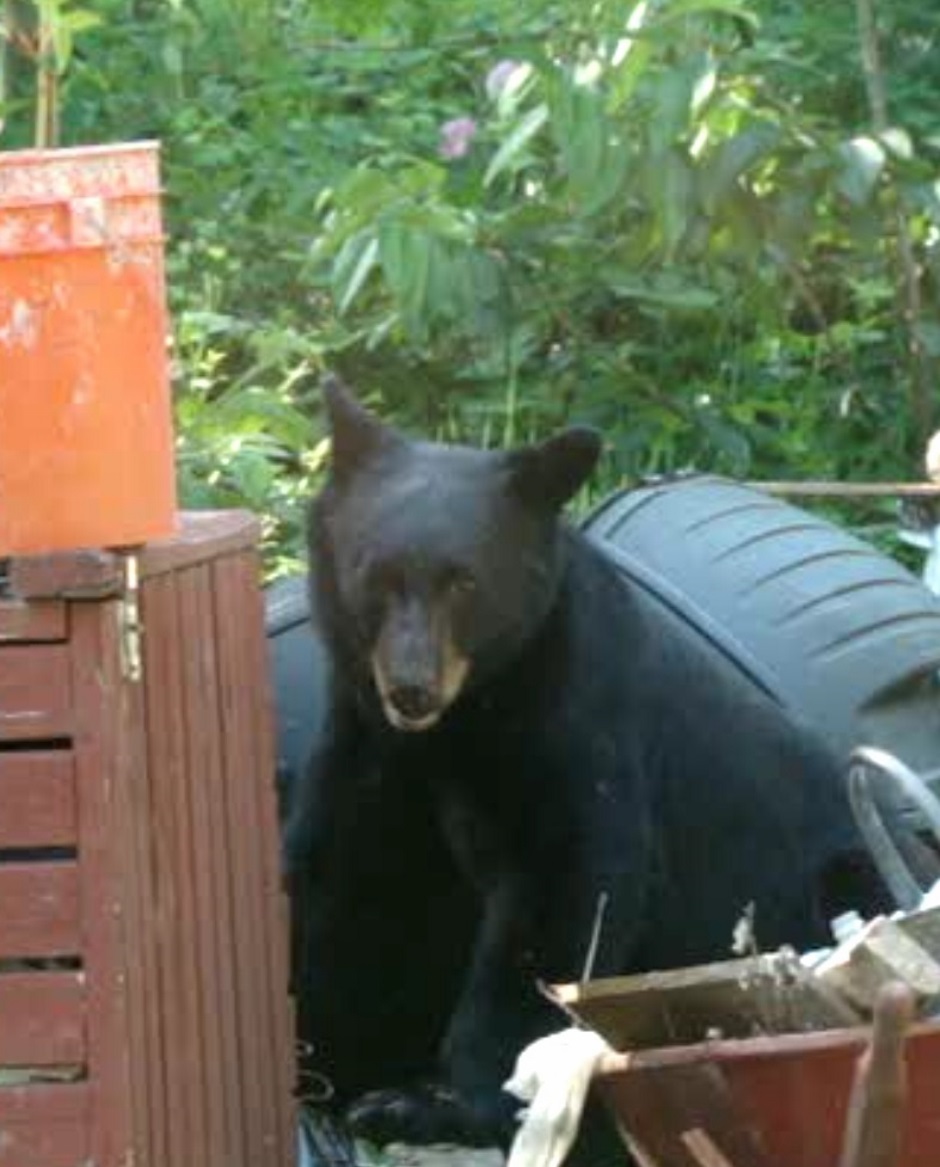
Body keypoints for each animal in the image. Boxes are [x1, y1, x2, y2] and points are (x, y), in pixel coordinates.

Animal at [284, 374, 888, 1152]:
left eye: (465, 582)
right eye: (374, 575)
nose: (412, 688)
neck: (466, 720)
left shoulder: (577, 722)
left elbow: (564, 890)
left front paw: (439, 1101)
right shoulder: (370, 744)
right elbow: (343, 879)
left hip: (843, 868)